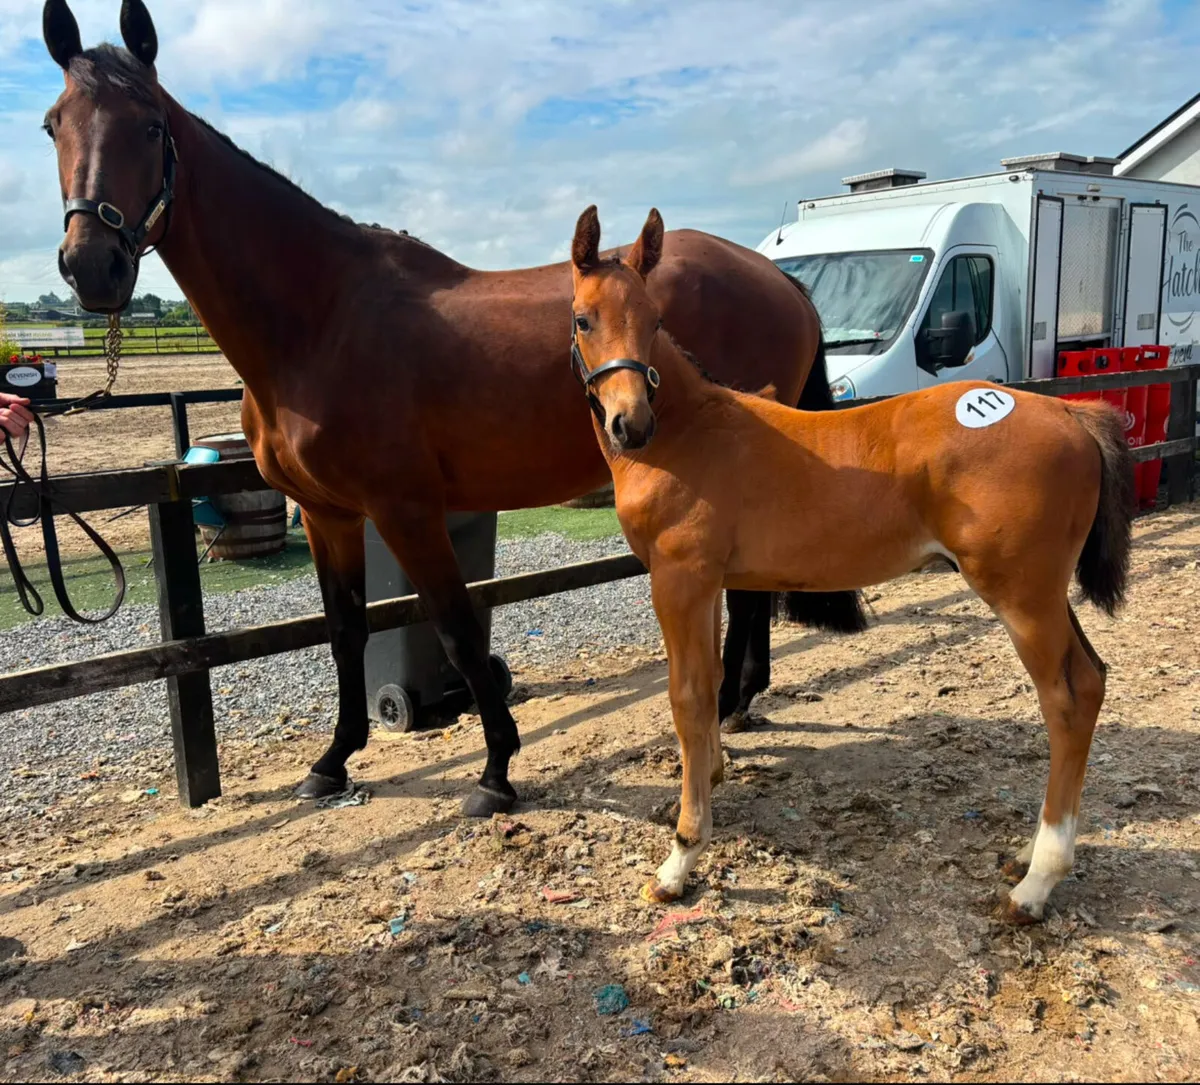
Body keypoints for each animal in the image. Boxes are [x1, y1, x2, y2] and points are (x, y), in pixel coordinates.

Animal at [39, 0, 864, 817]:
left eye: (150, 127)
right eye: (54, 124)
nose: (91, 266)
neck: (321, 318)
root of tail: (781, 280)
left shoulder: (405, 509)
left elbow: (458, 630)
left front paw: (496, 769)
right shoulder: (328, 514)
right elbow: (345, 630)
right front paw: (332, 761)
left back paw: (728, 703)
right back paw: (740, 701)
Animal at [568, 204, 1134, 924]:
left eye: (654, 319)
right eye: (584, 319)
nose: (630, 423)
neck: (687, 434)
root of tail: (1069, 409)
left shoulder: (680, 579)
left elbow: (688, 696)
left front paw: (680, 858)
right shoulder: (710, 583)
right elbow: (709, 684)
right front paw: (713, 776)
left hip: (1021, 595)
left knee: (1067, 698)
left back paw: (1036, 884)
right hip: (1045, 592)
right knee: (1092, 678)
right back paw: (1028, 857)